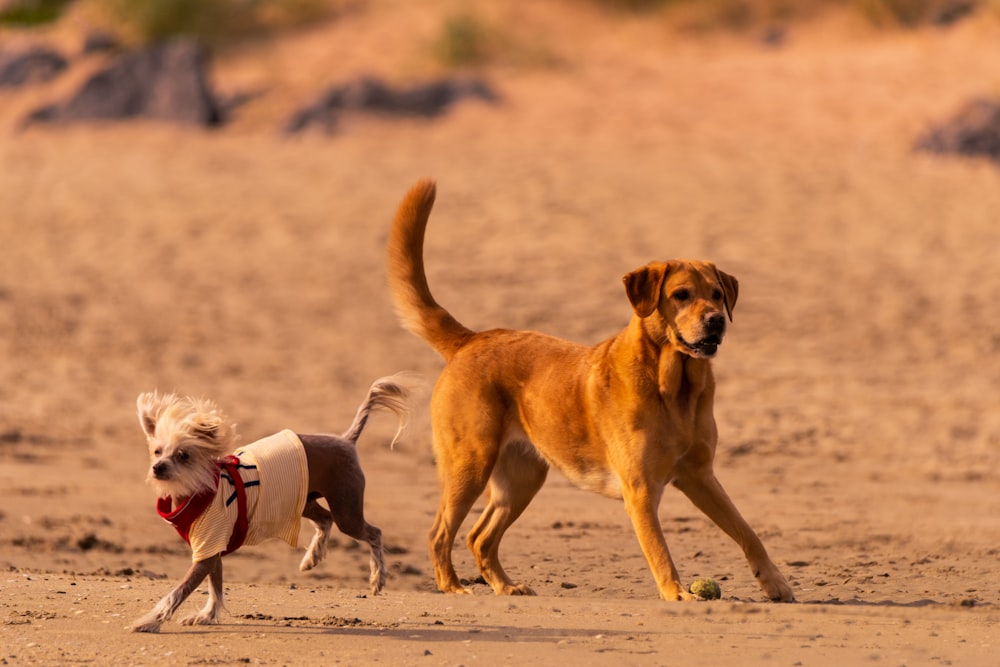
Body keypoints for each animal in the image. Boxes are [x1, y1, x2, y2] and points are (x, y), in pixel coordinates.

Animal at [131, 378, 412, 636]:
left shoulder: (208, 548)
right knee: (325, 519)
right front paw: (207, 615)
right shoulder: (211, 549)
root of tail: (347, 440)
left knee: (373, 532)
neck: (197, 489)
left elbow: (177, 592)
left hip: (347, 510)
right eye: (157, 451)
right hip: (303, 501)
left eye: (183, 455)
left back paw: (378, 578)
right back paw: (312, 558)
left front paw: (149, 621)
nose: (158, 467)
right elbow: (215, 587)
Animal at [386, 180, 792, 604]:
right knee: (439, 533)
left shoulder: (701, 477)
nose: (715, 321)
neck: (675, 388)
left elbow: (748, 532)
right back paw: (451, 585)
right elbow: (660, 550)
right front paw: (677, 593)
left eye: (716, 294)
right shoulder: (641, 490)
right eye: (681, 294)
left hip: (521, 479)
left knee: (479, 538)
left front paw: (775, 582)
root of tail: (472, 339)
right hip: (470, 464)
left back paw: (505, 586)